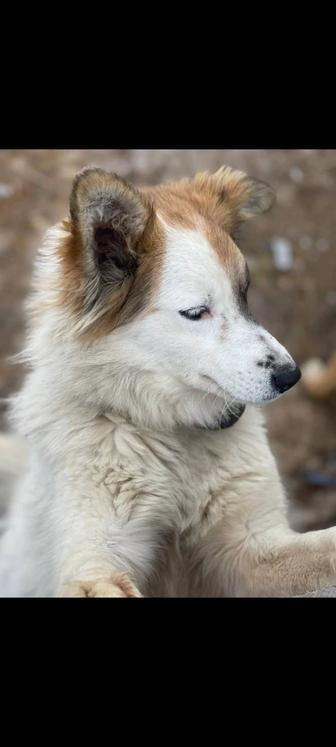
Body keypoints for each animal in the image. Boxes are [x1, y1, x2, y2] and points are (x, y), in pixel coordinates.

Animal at [0, 167, 336, 600]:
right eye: (195, 312)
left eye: (244, 293)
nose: (290, 376)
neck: (169, 432)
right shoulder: (95, 560)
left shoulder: (253, 551)